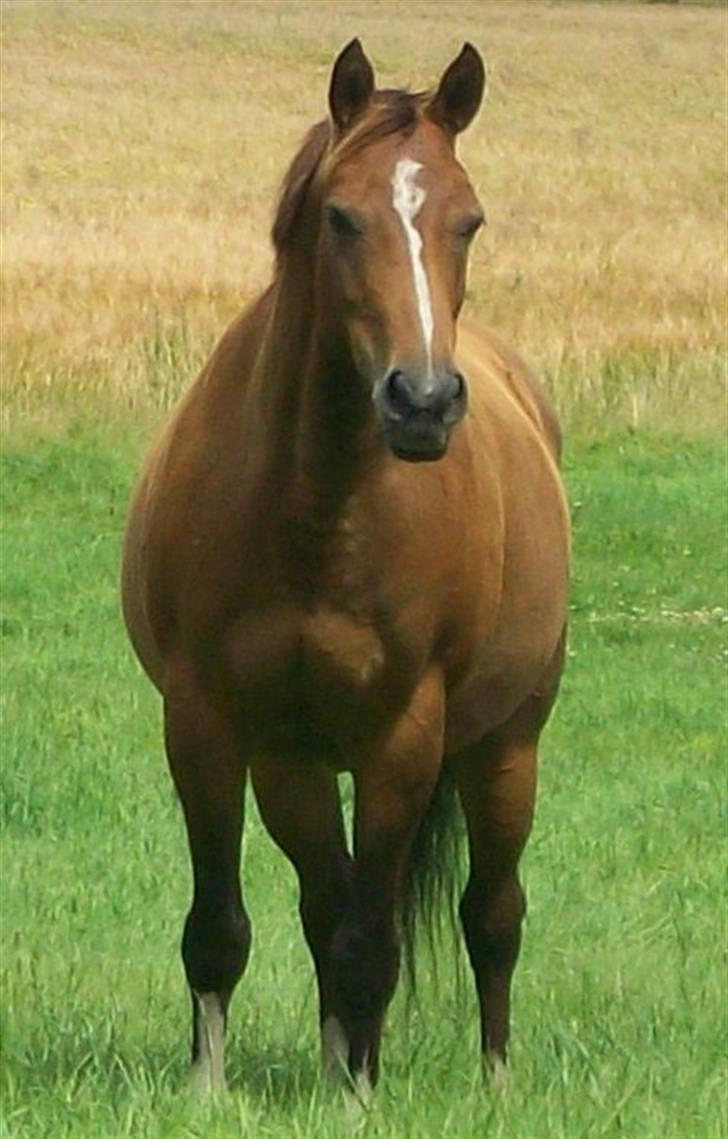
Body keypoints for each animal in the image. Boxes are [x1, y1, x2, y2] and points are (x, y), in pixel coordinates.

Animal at [122, 40, 569, 1097]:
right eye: (341, 216)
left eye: (468, 219)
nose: (423, 401)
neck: (311, 511)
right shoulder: (205, 722)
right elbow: (224, 927)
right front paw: (210, 1087)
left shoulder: (401, 737)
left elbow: (377, 939)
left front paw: (361, 1095)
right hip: (294, 763)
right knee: (325, 904)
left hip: (507, 746)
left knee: (492, 914)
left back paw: (493, 1077)